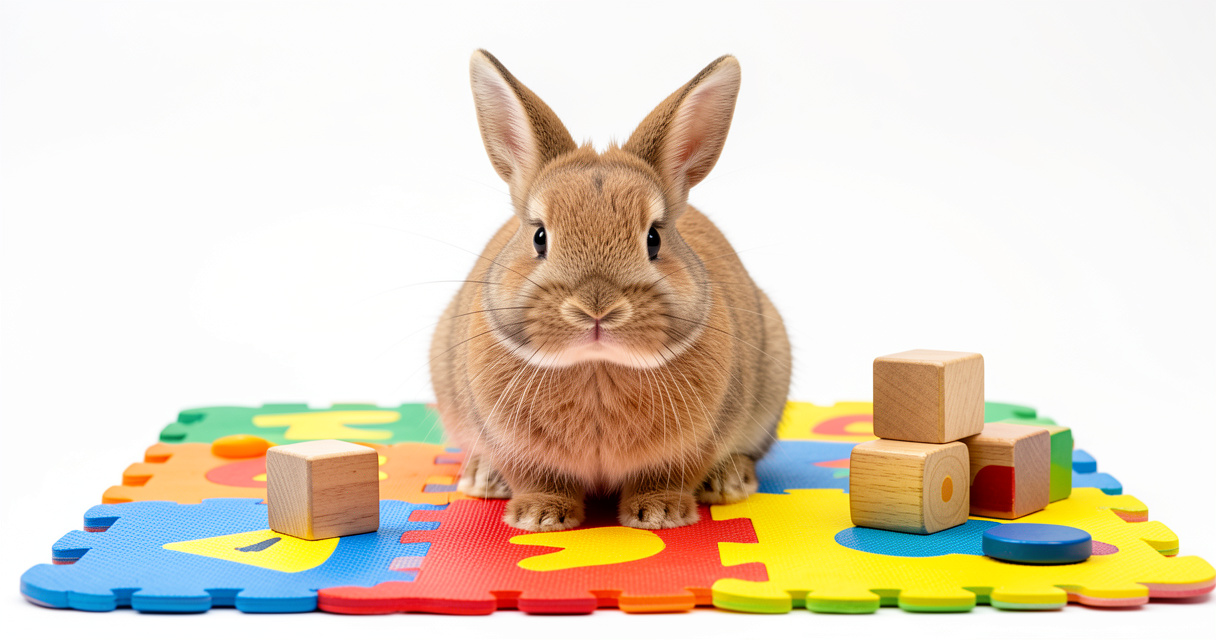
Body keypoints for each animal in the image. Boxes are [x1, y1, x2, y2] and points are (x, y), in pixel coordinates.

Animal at [430, 50, 791, 532]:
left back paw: (728, 482)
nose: (596, 308)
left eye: (654, 238)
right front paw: (539, 517)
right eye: (539, 236)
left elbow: (667, 477)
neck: (597, 366)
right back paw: (483, 478)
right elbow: (539, 479)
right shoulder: (516, 447)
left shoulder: (693, 444)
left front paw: (660, 514)